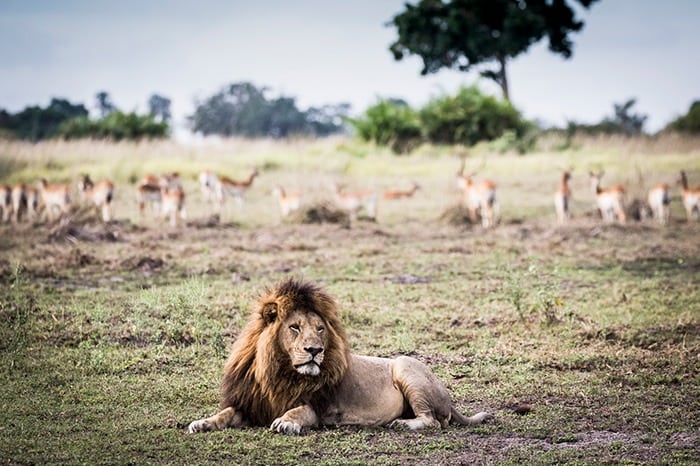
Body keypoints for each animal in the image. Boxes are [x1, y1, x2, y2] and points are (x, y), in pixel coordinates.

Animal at [187, 278, 492, 436]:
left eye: (320, 329)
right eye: (295, 327)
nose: (315, 350)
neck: (279, 372)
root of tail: (448, 397)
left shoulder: (315, 406)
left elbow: (297, 411)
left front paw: (286, 422)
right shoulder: (251, 403)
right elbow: (225, 413)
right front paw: (202, 422)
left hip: (406, 366)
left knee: (433, 420)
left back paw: (402, 423)